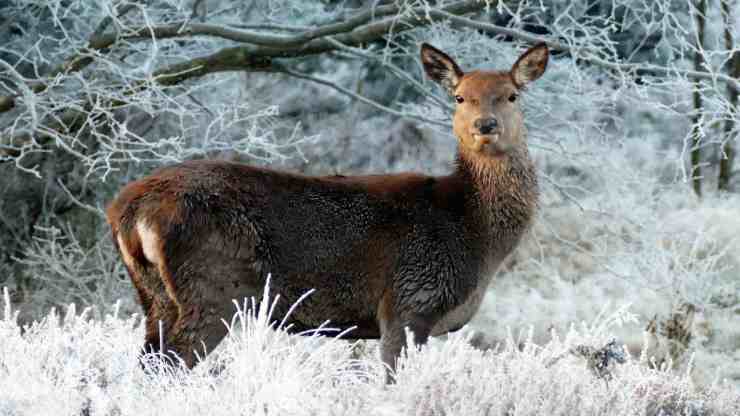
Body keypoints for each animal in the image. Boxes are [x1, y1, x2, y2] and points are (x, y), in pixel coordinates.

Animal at [106, 42, 548, 382]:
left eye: (512, 95)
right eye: (459, 97)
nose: (485, 125)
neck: (474, 231)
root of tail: (126, 209)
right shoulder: (408, 301)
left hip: (155, 296)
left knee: (147, 363)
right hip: (212, 288)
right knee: (168, 366)